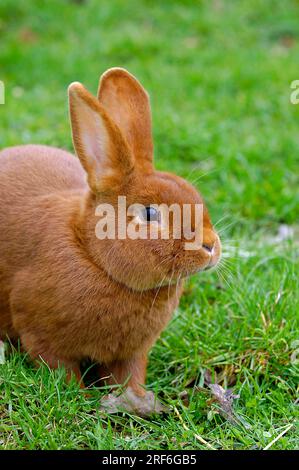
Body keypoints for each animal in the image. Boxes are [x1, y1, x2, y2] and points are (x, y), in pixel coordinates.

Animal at [0, 67, 220, 414]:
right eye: (148, 214)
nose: (211, 246)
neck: (93, 255)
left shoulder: (132, 352)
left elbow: (129, 374)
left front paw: (134, 397)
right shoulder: (42, 336)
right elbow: (60, 369)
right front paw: (81, 398)